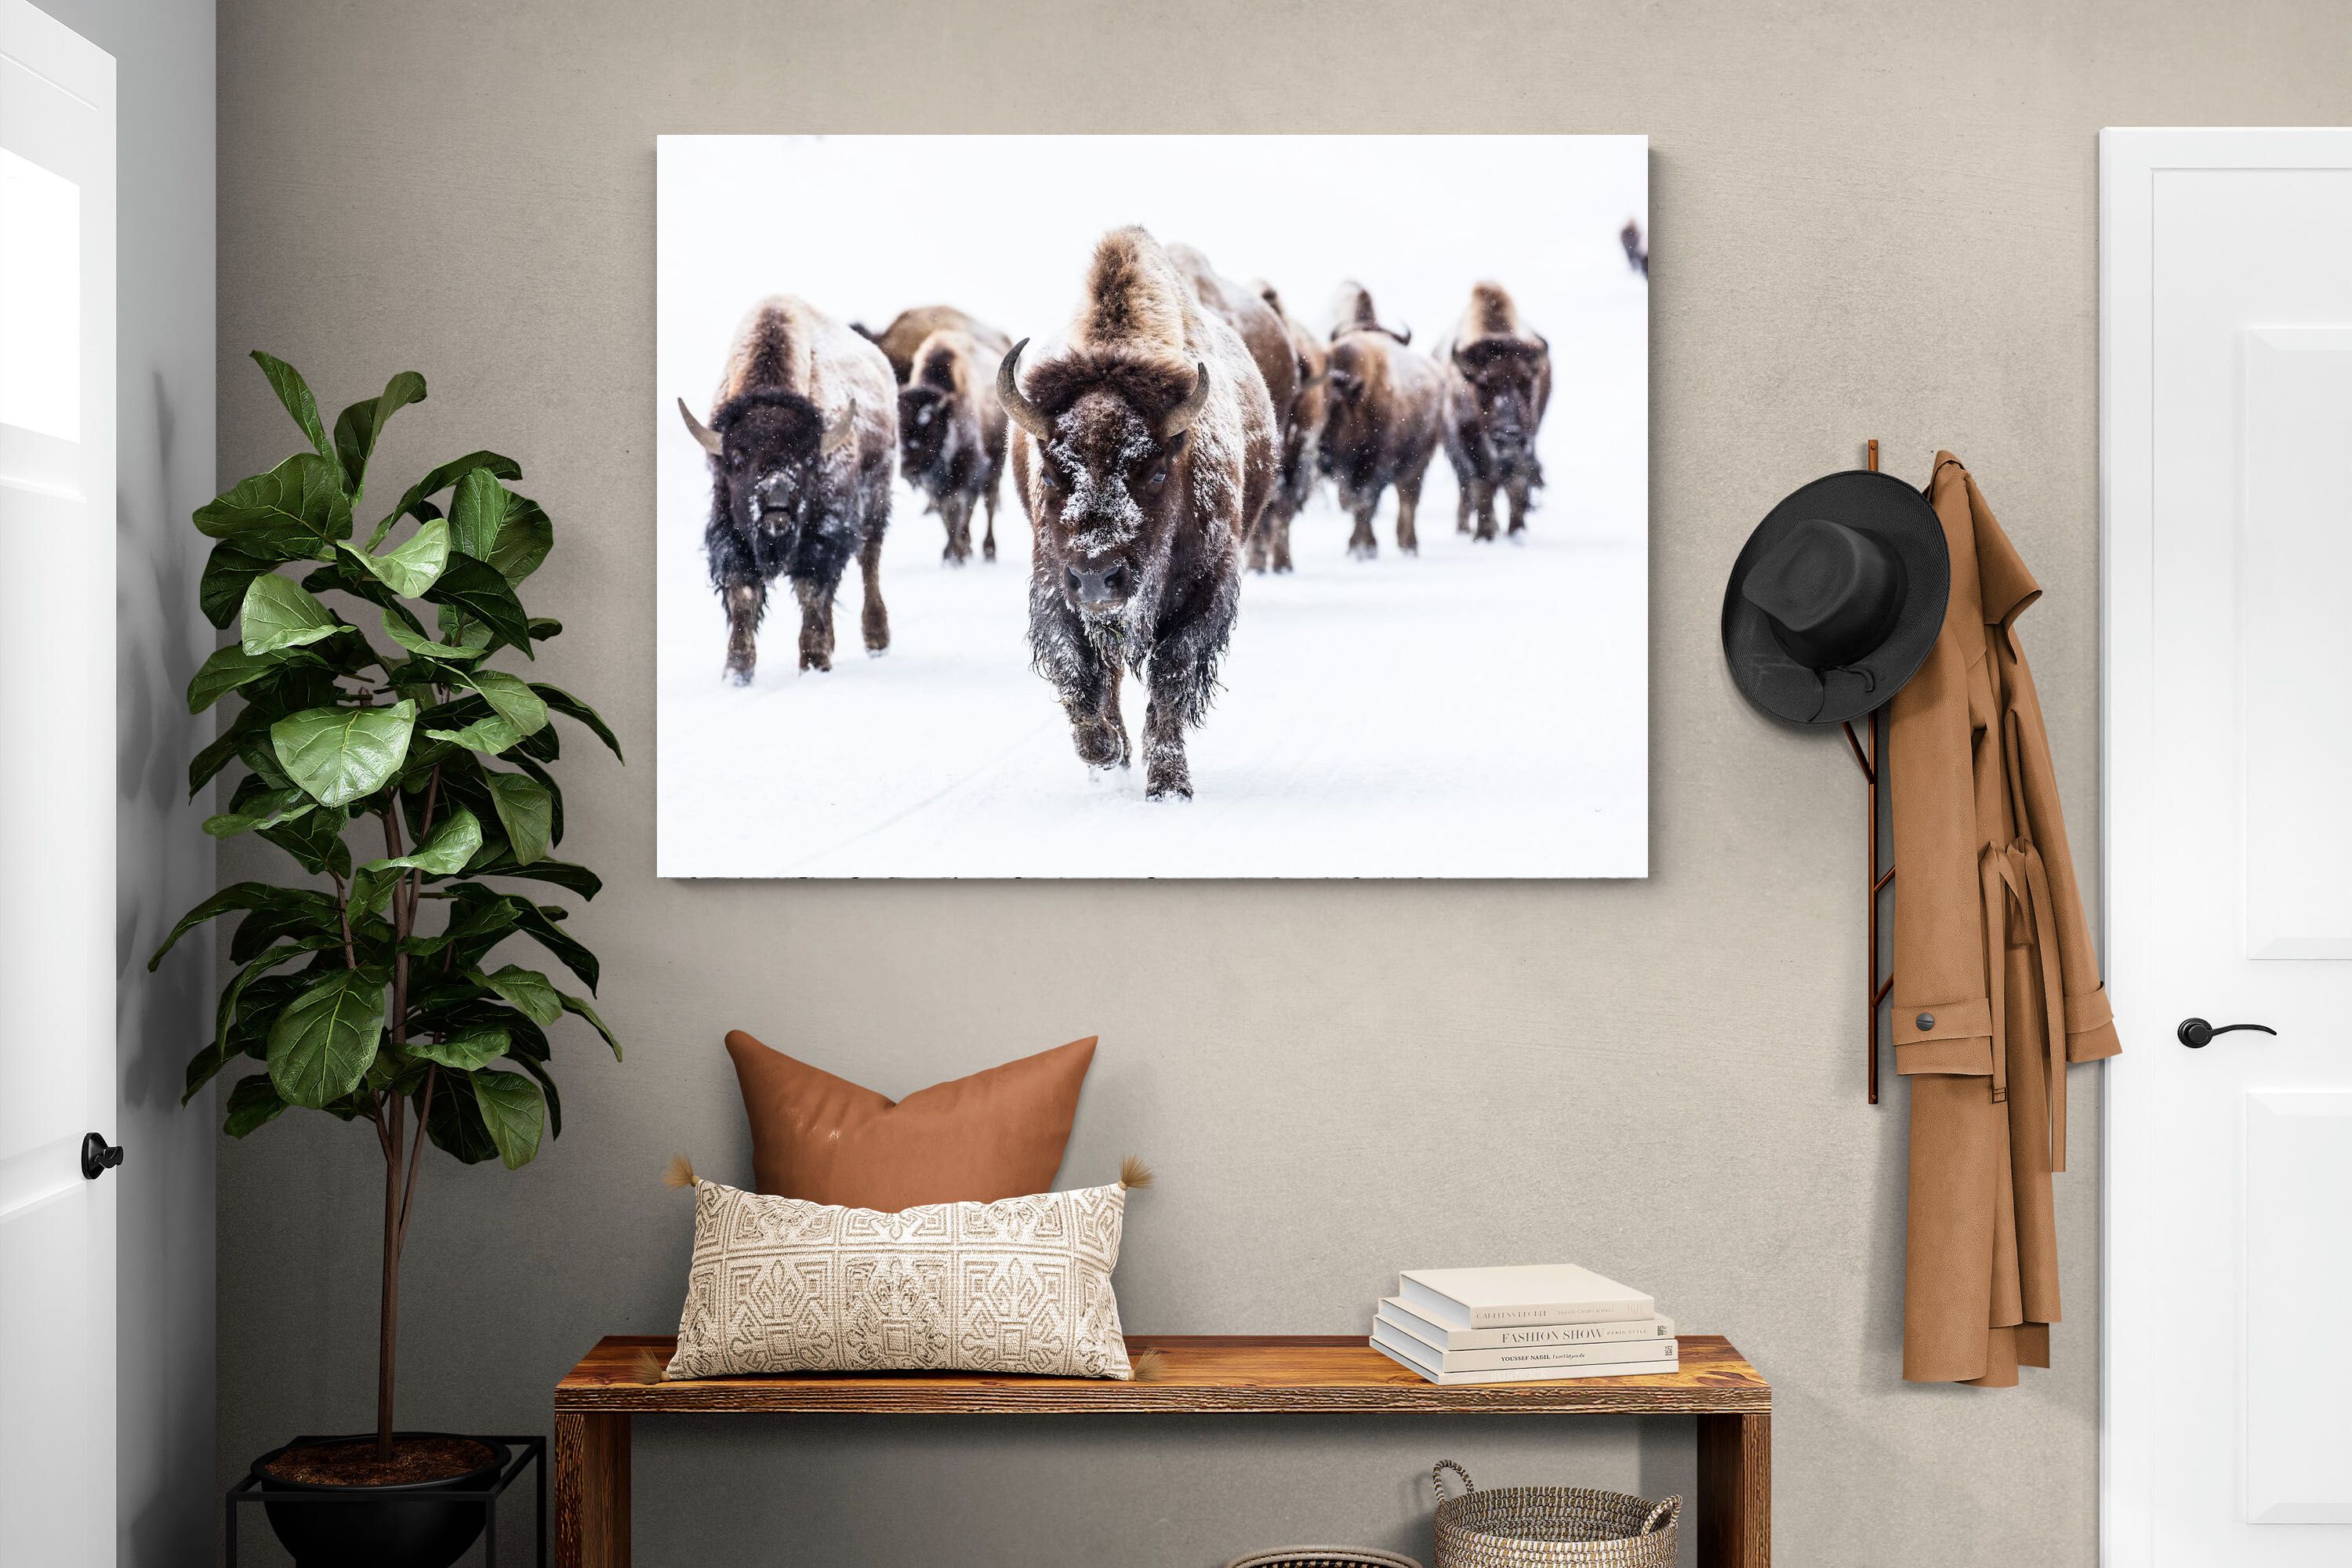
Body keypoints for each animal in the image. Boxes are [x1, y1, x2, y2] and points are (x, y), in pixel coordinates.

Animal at [677, 295, 895, 681]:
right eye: (737, 460)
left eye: (808, 459)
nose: (776, 508)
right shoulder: (730, 533)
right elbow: (743, 595)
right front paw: (737, 672)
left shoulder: (824, 536)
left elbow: (812, 592)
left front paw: (813, 661)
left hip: (877, 501)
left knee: (869, 561)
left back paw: (877, 640)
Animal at [999, 226, 1277, 800]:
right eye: (1050, 473)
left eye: (1154, 471)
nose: (1098, 578)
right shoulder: (1055, 587)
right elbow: (1076, 672)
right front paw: (1105, 753)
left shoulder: (1206, 591)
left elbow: (1172, 677)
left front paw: (1169, 785)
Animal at [1319, 282, 1444, 559]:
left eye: (1337, 410)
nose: (1320, 452)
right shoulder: (1348, 473)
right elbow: (1357, 502)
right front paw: (1358, 547)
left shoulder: (1374, 465)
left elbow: (1365, 503)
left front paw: (1363, 548)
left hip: (1418, 463)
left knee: (1408, 499)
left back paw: (1409, 545)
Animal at [1438, 281, 1551, 542]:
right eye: (1483, 385)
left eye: (1526, 382)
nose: (1509, 434)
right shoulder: (1469, 447)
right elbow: (1482, 488)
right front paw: (1484, 534)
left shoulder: (1526, 443)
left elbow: (1516, 486)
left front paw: (1517, 532)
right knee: (1467, 489)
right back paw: (1465, 528)